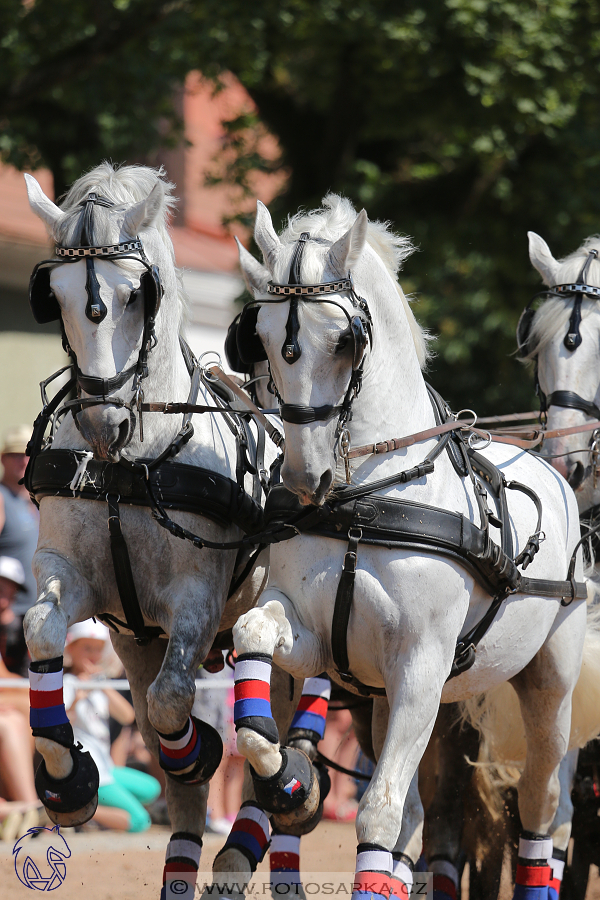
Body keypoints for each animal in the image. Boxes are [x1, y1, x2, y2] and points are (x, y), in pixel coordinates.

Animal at [22, 165, 298, 896]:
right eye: (55, 296)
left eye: (132, 296)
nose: (102, 421)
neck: (134, 460)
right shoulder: (78, 582)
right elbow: (40, 631)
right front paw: (68, 780)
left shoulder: (196, 601)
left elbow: (174, 703)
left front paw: (205, 749)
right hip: (136, 643)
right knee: (175, 772)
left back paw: (268, 815)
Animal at [226, 195, 600, 900]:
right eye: (258, 338)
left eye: (343, 340)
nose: (304, 479)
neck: (365, 498)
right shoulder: (320, 640)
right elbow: (252, 638)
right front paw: (286, 776)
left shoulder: (421, 671)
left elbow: (380, 811)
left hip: (549, 691)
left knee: (542, 812)